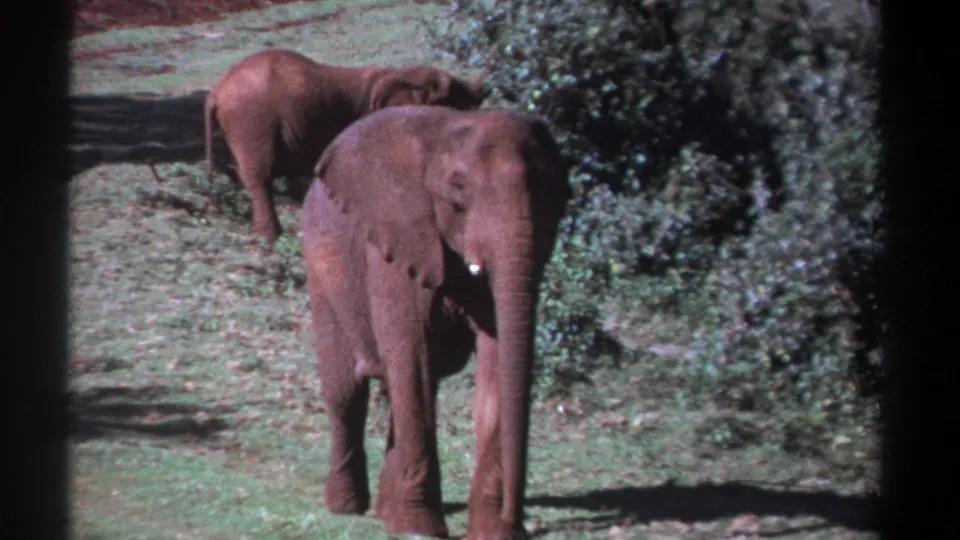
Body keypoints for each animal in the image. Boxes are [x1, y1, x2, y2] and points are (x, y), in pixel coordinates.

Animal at [300, 105, 572, 539]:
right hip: (319, 267)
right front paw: (419, 529)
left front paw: (492, 532)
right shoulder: (396, 244)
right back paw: (346, 508)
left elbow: (495, 359)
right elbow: (412, 356)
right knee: (346, 393)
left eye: (550, 193)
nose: (518, 522)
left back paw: (385, 511)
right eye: (457, 191)